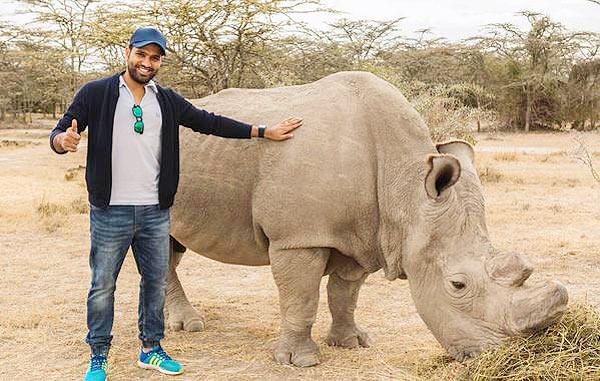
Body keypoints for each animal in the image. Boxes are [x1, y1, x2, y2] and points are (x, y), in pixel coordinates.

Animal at [164, 71, 568, 366]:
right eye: (458, 285)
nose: (499, 356)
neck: (407, 187)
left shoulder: (363, 234)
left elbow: (345, 293)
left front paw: (352, 342)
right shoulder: (298, 236)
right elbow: (301, 296)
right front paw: (300, 361)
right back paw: (189, 326)